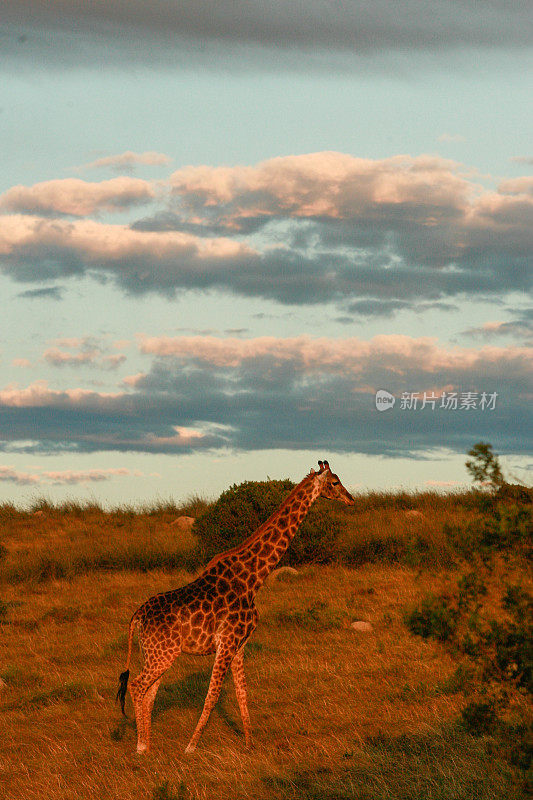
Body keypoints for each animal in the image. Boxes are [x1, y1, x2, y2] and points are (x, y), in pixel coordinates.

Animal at [116, 460, 354, 752]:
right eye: (335, 482)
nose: (351, 499)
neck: (252, 578)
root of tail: (137, 616)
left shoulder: (240, 644)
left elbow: (242, 693)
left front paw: (249, 744)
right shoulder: (227, 642)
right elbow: (212, 696)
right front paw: (191, 747)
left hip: (155, 653)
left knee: (149, 691)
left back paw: (149, 744)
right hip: (162, 654)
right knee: (137, 686)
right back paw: (140, 746)